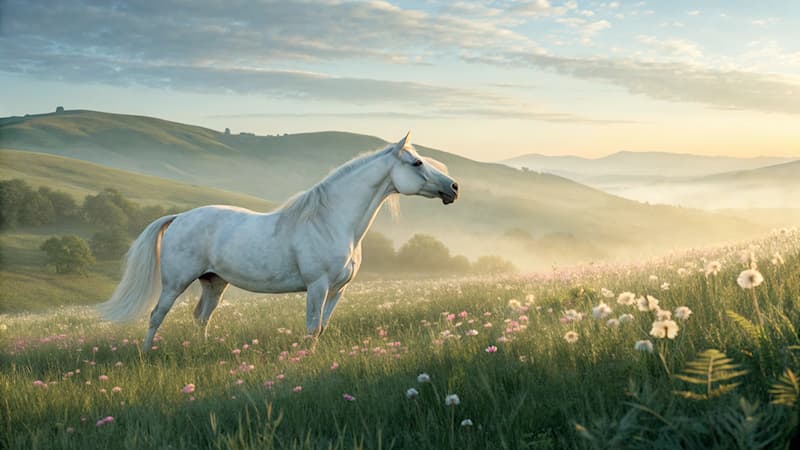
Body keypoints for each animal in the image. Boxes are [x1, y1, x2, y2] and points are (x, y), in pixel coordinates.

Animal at [97, 132, 459, 350]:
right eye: (417, 162)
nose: (454, 187)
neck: (330, 222)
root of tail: (180, 217)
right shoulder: (317, 286)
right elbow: (311, 328)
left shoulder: (337, 291)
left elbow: (322, 328)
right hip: (175, 283)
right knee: (156, 316)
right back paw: (147, 354)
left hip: (214, 282)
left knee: (201, 317)